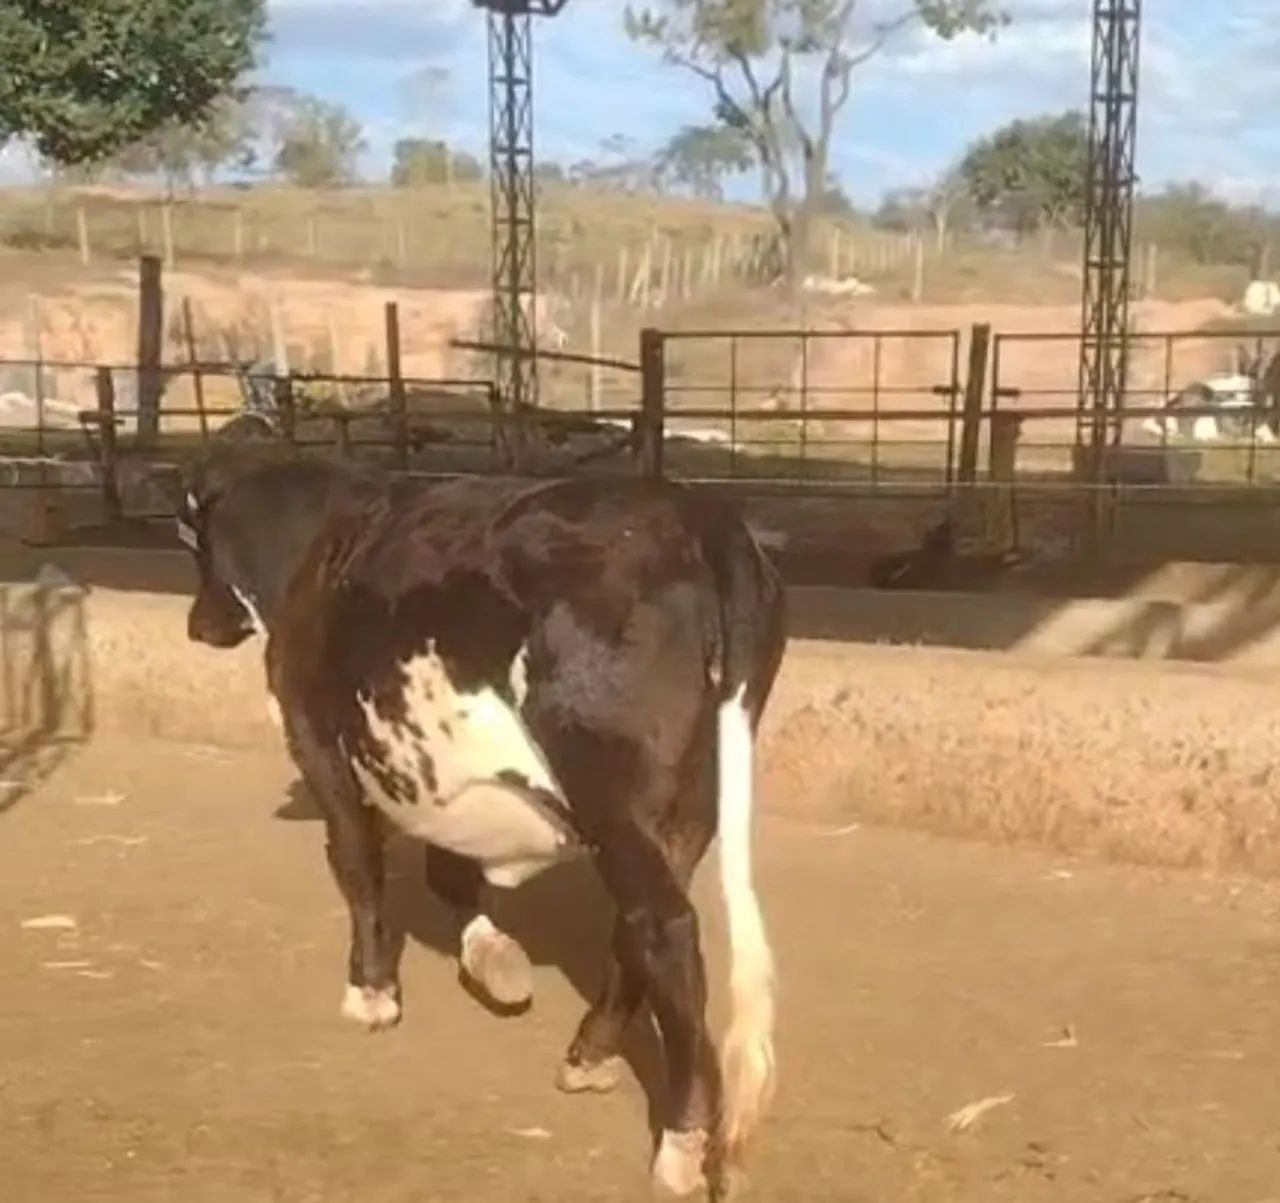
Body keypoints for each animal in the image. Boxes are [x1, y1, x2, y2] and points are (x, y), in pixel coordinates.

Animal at [173, 447, 786, 1198]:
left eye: (194, 539)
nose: (197, 625)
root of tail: (703, 519)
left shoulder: (318, 746)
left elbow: (359, 868)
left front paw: (372, 993)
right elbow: (450, 872)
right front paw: (493, 960)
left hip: (609, 781)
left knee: (665, 931)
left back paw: (678, 1145)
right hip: (687, 802)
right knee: (635, 929)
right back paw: (588, 1054)